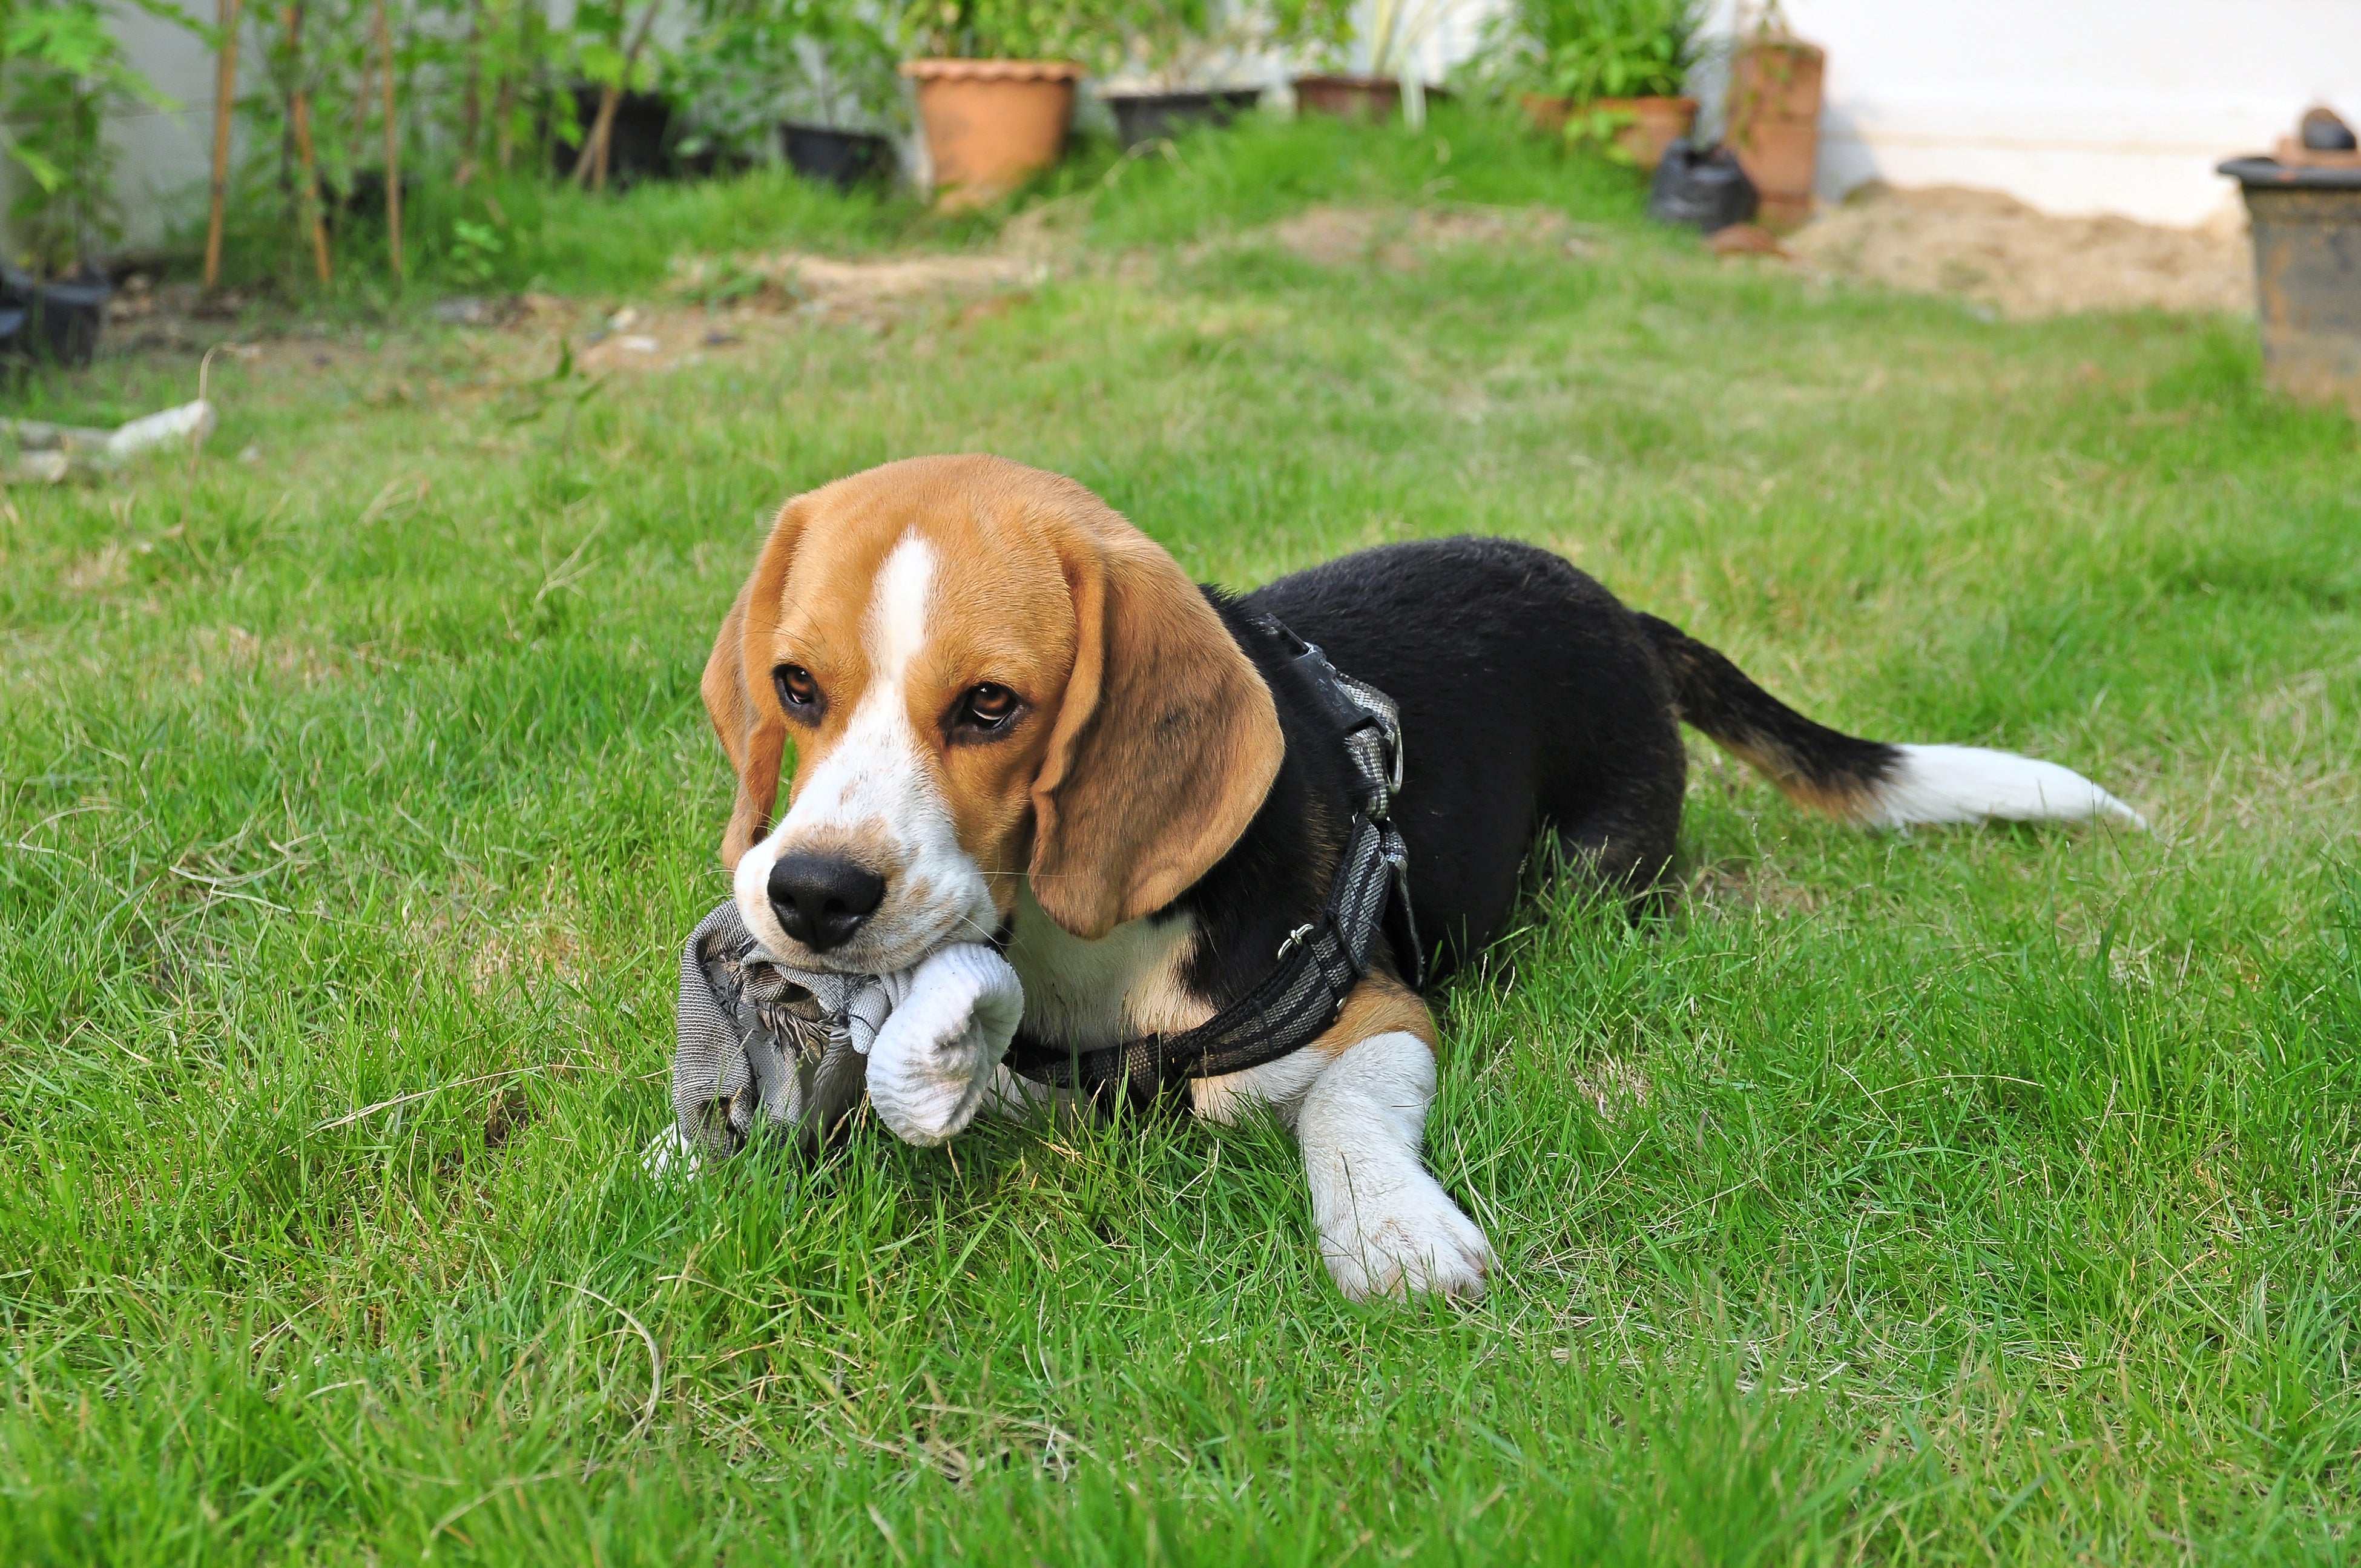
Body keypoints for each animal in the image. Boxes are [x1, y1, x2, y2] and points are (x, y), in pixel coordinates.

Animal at [703, 451, 2144, 1294]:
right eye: (797, 686)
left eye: (993, 707)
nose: (811, 896)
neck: (1080, 947)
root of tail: (1618, 608)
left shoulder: (1381, 1010)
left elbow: (1340, 1112)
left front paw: (1395, 1233)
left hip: (1596, 876)